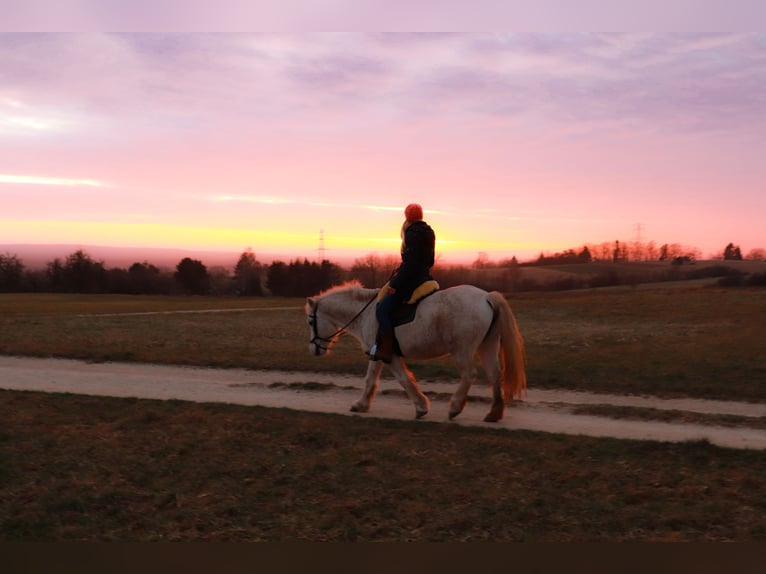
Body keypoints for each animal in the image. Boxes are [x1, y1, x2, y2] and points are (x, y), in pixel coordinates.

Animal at [306, 282, 528, 424]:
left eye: (310, 321)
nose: (314, 349)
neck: (366, 314)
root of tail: (485, 297)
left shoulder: (390, 357)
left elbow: (404, 379)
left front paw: (421, 407)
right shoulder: (377, 355)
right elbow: (370, 379)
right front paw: (361, 405)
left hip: (462, 351)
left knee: (469, 375)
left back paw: (455, 407)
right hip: (487, 346)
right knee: (495, 375)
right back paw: (494, 413)